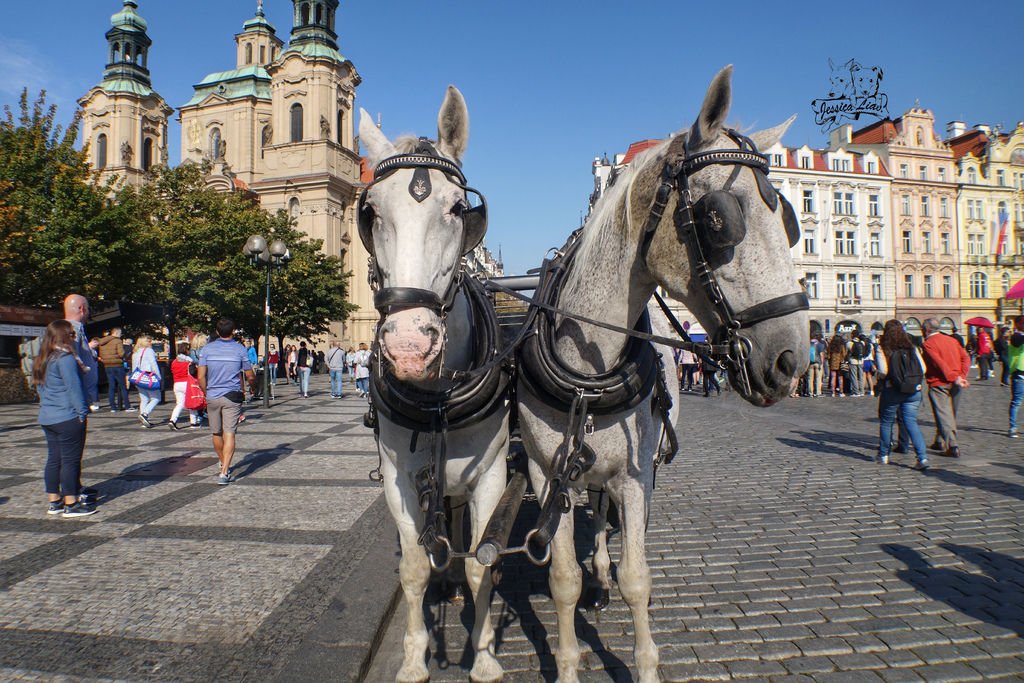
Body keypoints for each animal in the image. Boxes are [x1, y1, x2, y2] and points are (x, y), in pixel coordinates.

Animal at [360, 88, 512, 679]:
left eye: (456, 208)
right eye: (372, 212)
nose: (407, 345)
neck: (439, 401)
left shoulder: (491, 475)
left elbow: (482, 564)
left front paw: (485, 655)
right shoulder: (399, 480)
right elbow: (414, 569)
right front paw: (413, 659)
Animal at [520, 65, 806, 683]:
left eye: (789, 221)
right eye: (720, 218)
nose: (793, 360)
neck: (589, 373)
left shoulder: (634, 477)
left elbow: (638, 579)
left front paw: (644, 659)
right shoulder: (545, 474)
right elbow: (562, 580)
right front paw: (569, 659)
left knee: (609, 518)